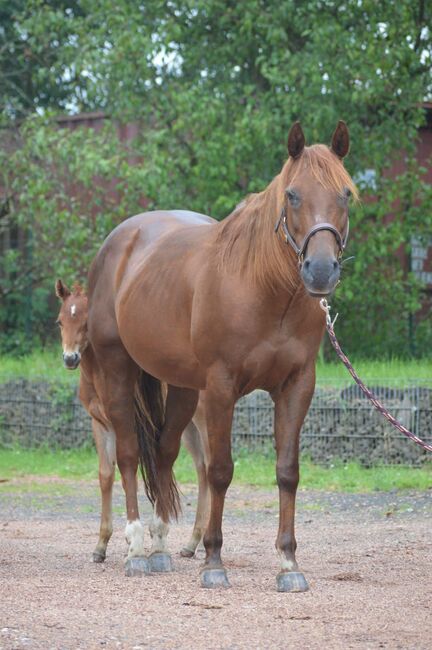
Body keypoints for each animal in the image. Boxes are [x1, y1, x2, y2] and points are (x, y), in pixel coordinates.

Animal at [86, 120, 356, 588]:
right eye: (292, 194)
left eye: (345, 194)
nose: (321, 272)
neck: (263, 289)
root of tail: (120, 241)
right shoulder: (221, 388)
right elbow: (220, 472)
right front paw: (213, 561)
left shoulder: (296, 386)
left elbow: (288, 472)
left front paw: (289, 564)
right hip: (118, 369)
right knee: (128, 454)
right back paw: (135, 549)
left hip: (181, 387)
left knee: (163, 453)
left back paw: (160, 548)